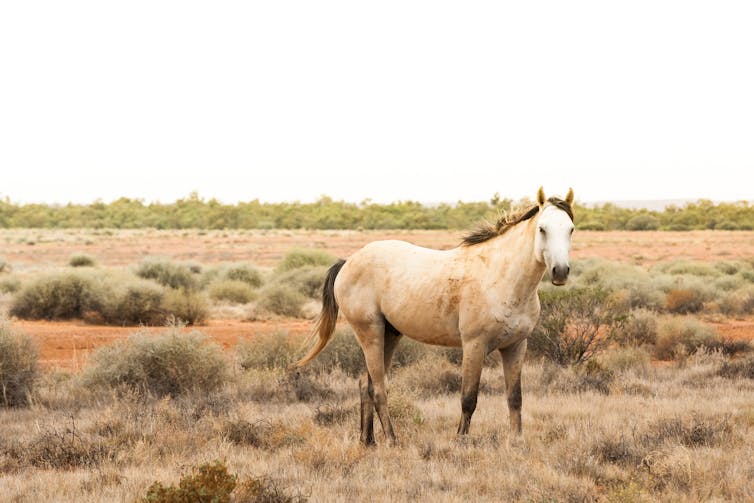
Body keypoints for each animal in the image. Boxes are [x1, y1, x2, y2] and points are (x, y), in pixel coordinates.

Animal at [296, 188, 572, 444]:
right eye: (542, 229)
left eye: (570, 229)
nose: (560, 272)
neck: (501, 278)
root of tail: (349, 261)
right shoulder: (474, 346)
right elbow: (468, 399)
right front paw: (460, 442)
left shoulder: (515, 346)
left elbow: (515, 398)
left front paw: (517, 441)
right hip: (370, 334)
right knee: (379, 390)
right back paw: (392, 440)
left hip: (389, 335)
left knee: (367, 386)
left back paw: (368, 441)